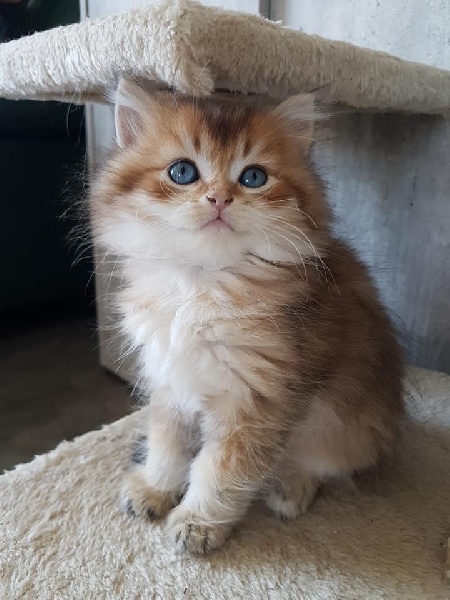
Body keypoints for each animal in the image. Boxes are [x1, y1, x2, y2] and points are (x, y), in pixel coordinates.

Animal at [89, 79, 402, 556]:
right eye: (183, 172)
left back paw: (291, 487)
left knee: (325, 463)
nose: (219, 198)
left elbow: (220, 469)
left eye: (253, 177)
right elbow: (167, 442)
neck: (200, 287)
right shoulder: (169, 378)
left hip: (350, 426)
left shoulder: (256, 401)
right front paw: (156, 488)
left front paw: (197, 523)